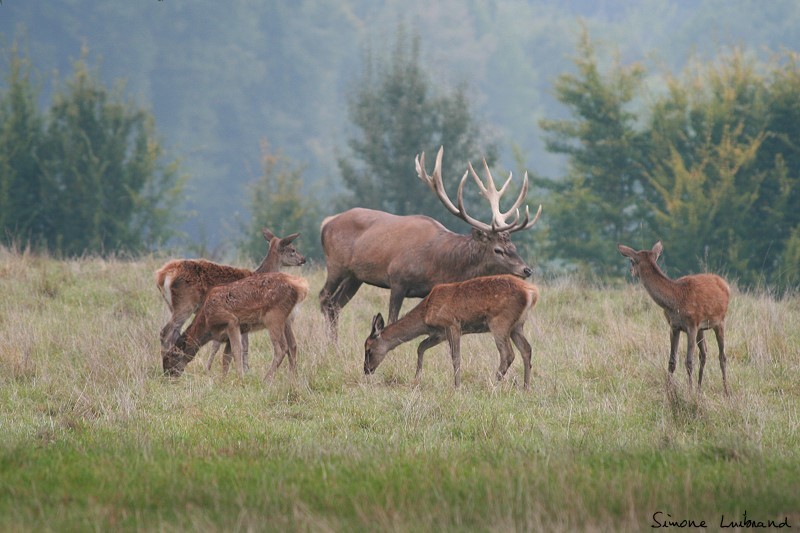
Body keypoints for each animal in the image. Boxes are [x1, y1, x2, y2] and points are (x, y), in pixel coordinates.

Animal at [155, 228, 304, 370]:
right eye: (292, 249)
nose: (303, 259)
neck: (259, 273)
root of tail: (162, 276)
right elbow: (243, 345)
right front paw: (246, 369)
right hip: (185, 303)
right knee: (166, 332)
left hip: (172, 306)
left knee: (173, 332)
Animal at [162, 270, 310, 378]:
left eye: (171, 356)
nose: (168, 375)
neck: (207, 322)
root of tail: (301, 286)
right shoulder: (229, 334)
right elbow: (226, 358)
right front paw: (223, 379)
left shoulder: (231, 321)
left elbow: (236, 351)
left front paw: (240, 377)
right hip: (288, 319)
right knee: (293, 345)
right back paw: (292, 378)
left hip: (274, 316)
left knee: (281, 348)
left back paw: (267, 379)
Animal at [320, 144, 544, 336]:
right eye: (498, 249)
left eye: (513, 246)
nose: (527, 270)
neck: (438, 266)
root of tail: (326, 223)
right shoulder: (397, 279)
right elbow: (392, 320)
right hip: (336, 265)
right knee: (324, 298)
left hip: (355, 276)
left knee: (336, 305)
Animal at [364, 274, 540, 386]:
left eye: (368, 349)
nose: (366, 370)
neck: (425, 314)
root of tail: (531, 292)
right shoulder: (439, 333)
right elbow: (420, 347)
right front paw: (416, 379)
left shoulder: (452, 324)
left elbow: (456, 357)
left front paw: (457, 385)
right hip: (517, 326)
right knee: (526, 349)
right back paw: (526, 387)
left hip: (500, 321)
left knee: (507, 354)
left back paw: (492, 384)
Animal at [620, 241, 732, 394]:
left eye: (631, 260)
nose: (631, 271)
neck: (676, 300)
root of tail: (725, 285)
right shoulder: (674, 326)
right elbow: (672, 361)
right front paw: (669, 390)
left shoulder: (692, 325)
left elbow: (689, 361)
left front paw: (689, 391)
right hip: (702, 328)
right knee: (704, 353)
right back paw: (699, 388)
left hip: (719, 321)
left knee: (722, 356)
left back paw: (726, 391)